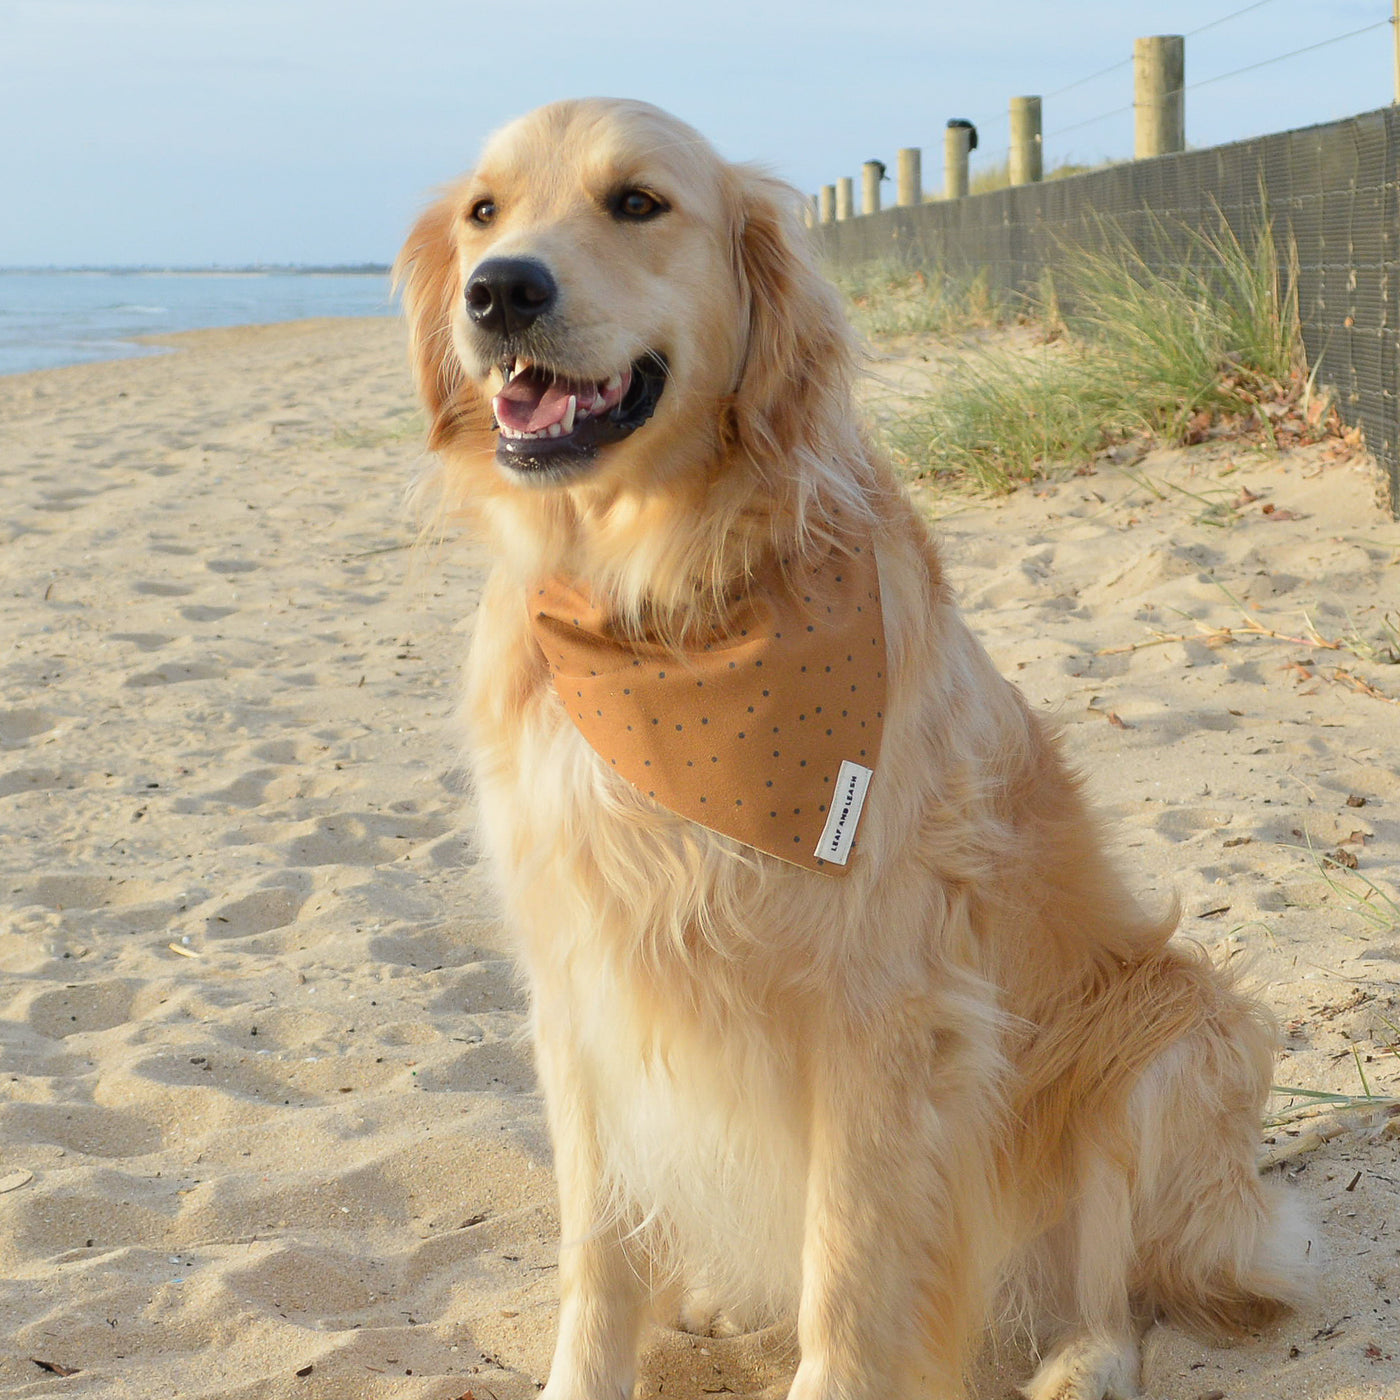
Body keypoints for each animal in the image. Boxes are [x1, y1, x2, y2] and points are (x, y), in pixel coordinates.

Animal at [394, 98, 1310, 1400]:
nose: (499, 289)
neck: (655, 604)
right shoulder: (579, 981)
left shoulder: (883, 1000)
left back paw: (1077, 1359)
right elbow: (598, 1253)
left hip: (1167, 1039)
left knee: (1112, 1287)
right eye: (484, 211)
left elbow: (850, 1261)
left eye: (637, 202)